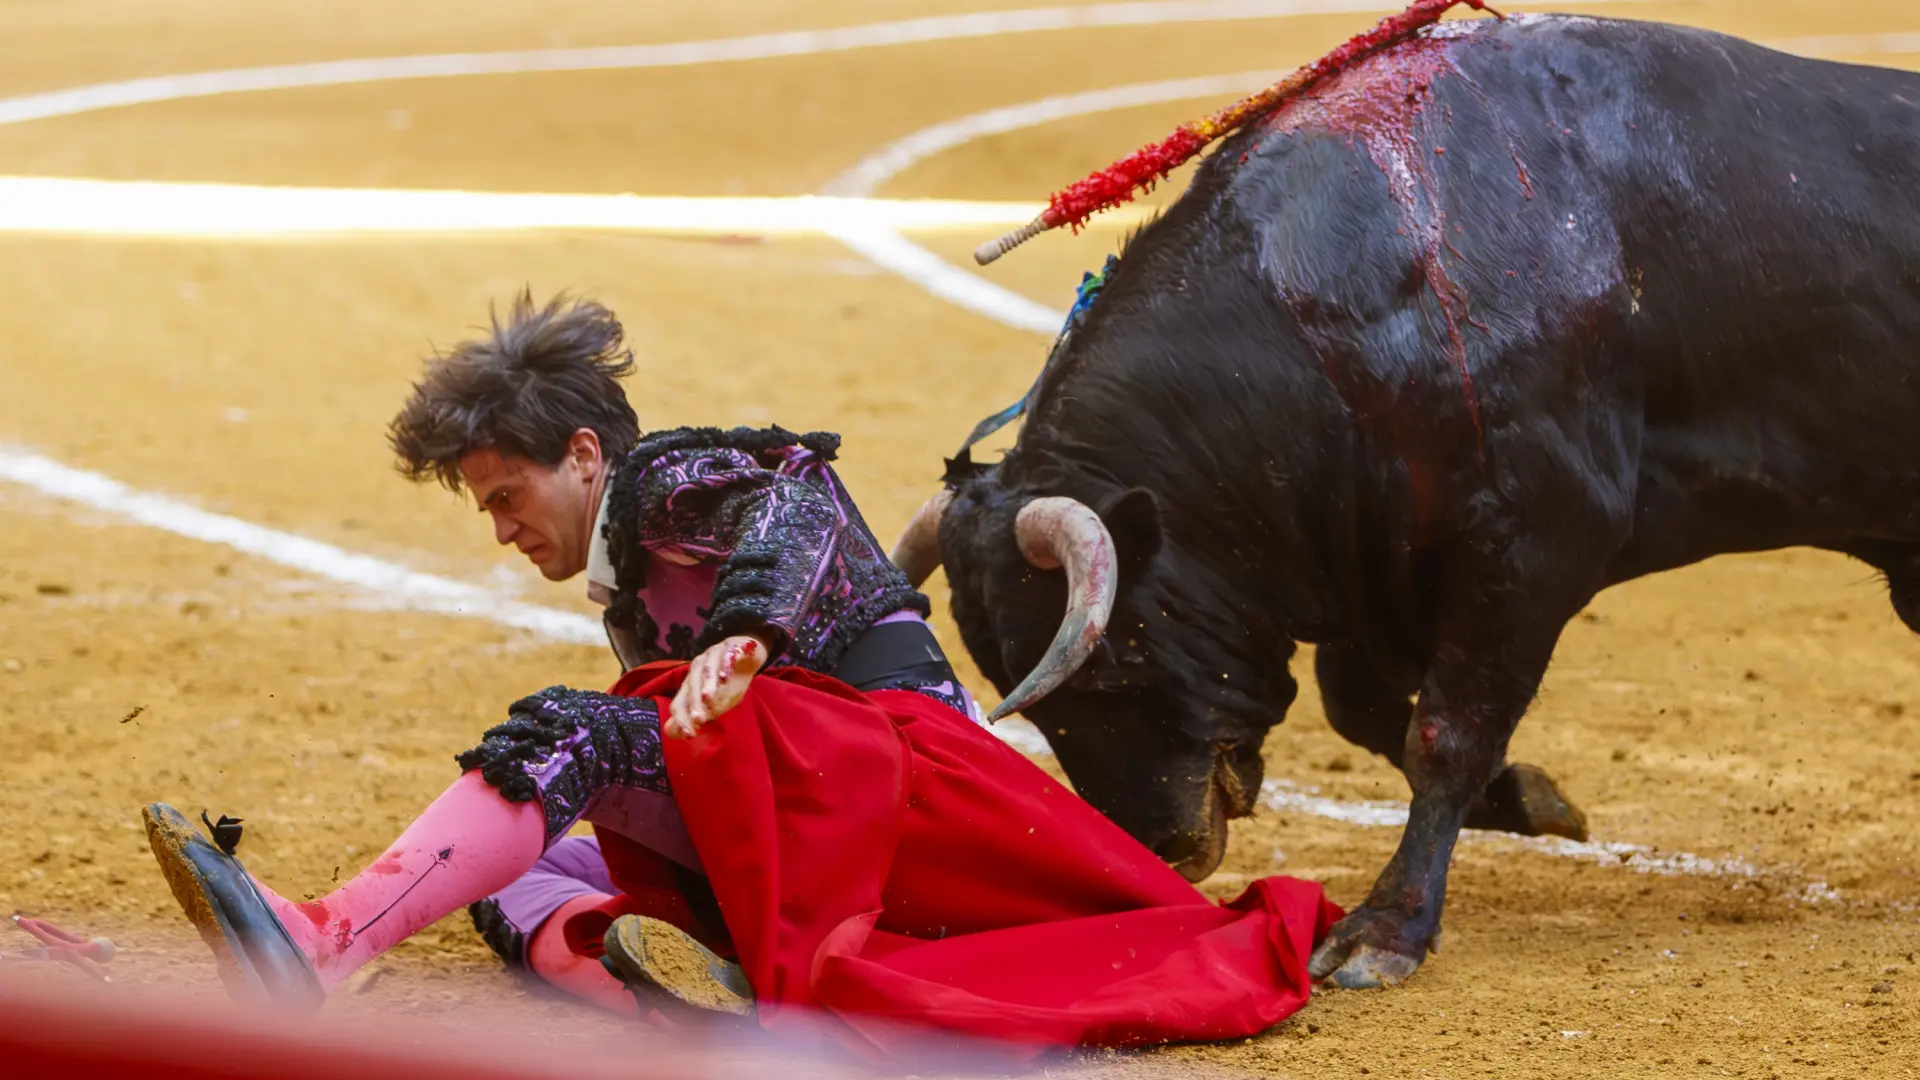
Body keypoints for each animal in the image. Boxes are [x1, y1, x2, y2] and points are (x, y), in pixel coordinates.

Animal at [890, 12, 1920, 983]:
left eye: (1109, 669)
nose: (1167, 851)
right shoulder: (1371, 554)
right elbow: (1366, 710)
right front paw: (1527, 798)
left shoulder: (1534, 545)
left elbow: (1445, 732)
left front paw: (1384, 932)